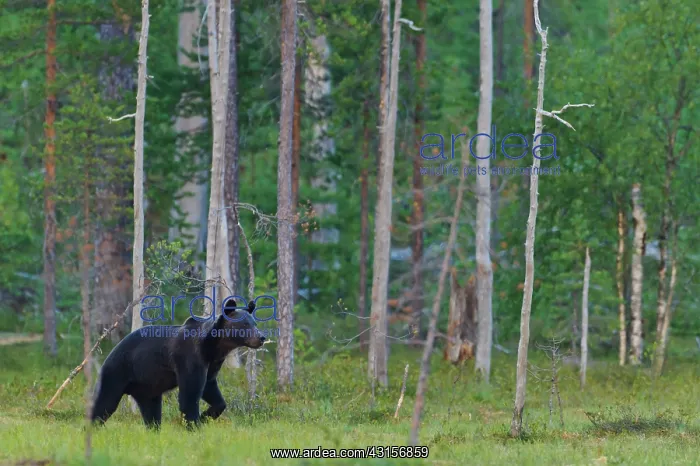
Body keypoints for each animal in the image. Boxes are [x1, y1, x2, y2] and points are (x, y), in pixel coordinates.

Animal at [90, 298, 265, 430]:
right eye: (245, 324)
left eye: (254, 323)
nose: (262, 337)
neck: (213, 346)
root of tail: (112, 350)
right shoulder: (189, 357)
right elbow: (190, 393)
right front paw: (194, 424)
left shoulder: (212, 363)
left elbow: (211, 390)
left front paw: (206, 416)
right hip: (117, 372)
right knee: (104, 402)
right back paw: (91, 427)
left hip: (147, 387)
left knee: (152, 412)